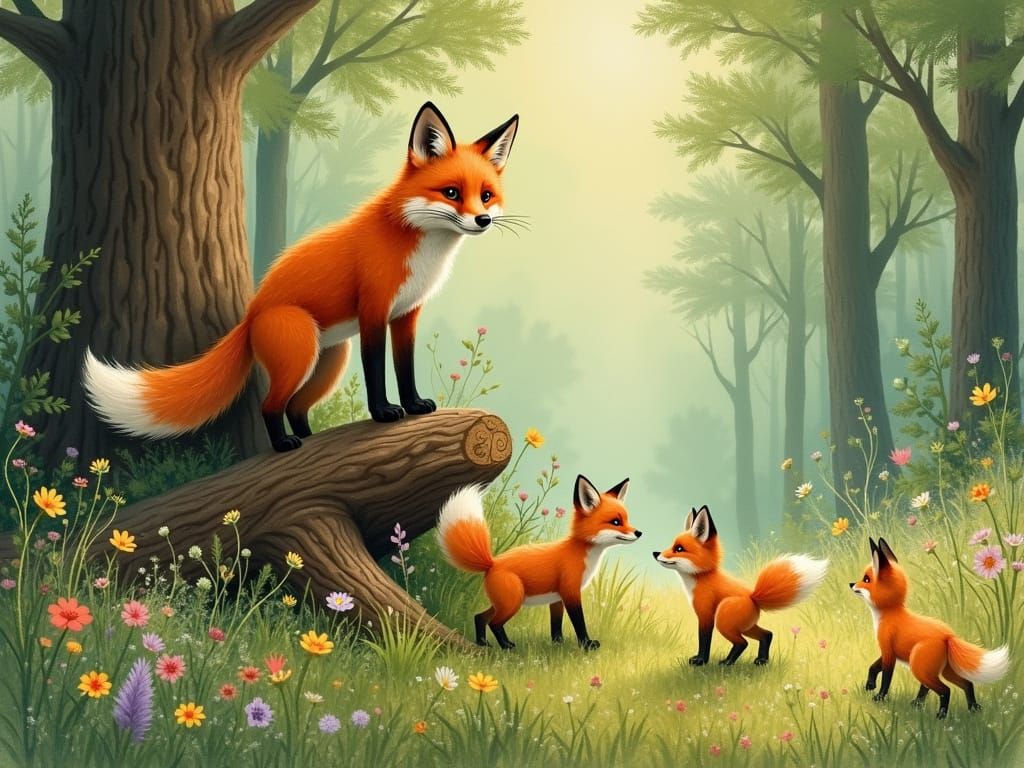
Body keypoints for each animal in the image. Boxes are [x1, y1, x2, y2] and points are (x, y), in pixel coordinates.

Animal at [82, 102, 519, 452]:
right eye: (451, 192)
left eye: (485, 195)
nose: (482, 220)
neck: (419, 245)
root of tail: (251, 312)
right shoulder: (374, 311)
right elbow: (377, 371)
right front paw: (383, 412)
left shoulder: (406, 314)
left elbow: (404, 367)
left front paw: (413, 406)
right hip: (302, 353)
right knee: (271, 405)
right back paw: (285, 445)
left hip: (330, 361)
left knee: (295, 406)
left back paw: (310, 438)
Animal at [436, 475, 641, 650]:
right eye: (615, 522)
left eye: (627, 519)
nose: (639, 533)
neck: (581, 554)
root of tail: (492, 563)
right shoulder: (570, 592)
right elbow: (579, 622)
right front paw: (586, 645)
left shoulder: (557, 598)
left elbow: (556, 624)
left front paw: (558, 644)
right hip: (513, 603)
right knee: (494, 623)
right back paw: (506, 646)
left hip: (504, 602)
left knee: (479, 617)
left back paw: (483, 643)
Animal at [654, 505, 828, 666]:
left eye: (679, 548)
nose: (655, 553)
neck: (702, 578)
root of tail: (753, 598)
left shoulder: (706, 615)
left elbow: (704, 640)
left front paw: (701, 660)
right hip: (744, 626)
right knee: (767, 634)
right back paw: (762, 660)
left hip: (724, 621)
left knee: (743, 643)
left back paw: (728, 662)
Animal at [851, 538, 1009, 718]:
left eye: (866, 579)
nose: (850, 584)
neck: (891, 614)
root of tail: (948, 635)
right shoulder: (887, 652)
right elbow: (873, 667)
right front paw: (869, 685)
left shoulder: (889, 652)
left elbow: (886, 678)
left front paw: (879, 697)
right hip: (943, 670)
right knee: (967, 684)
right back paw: (970, 708)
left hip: (920, 667)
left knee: (945, 690)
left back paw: (941, 715)